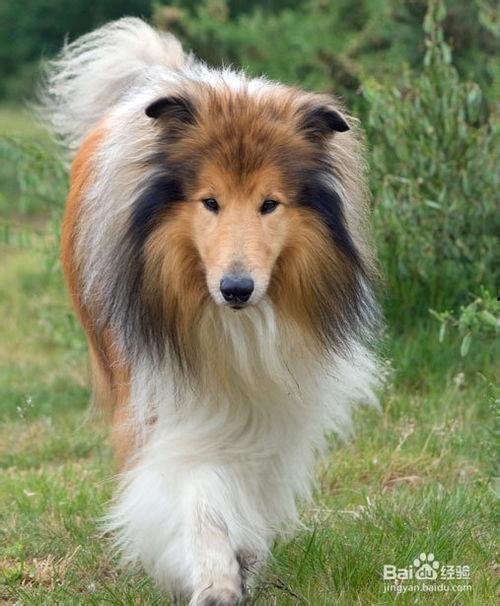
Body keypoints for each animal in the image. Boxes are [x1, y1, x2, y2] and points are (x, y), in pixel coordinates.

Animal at [40, 17, 380, 605]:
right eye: (209, 201)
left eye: (269, 203)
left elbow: (250, 479)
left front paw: (243, 558)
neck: (235, 325)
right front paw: (215, 577)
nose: (236, 288)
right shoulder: (167, 400)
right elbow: (195, 487)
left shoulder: (273, 408)